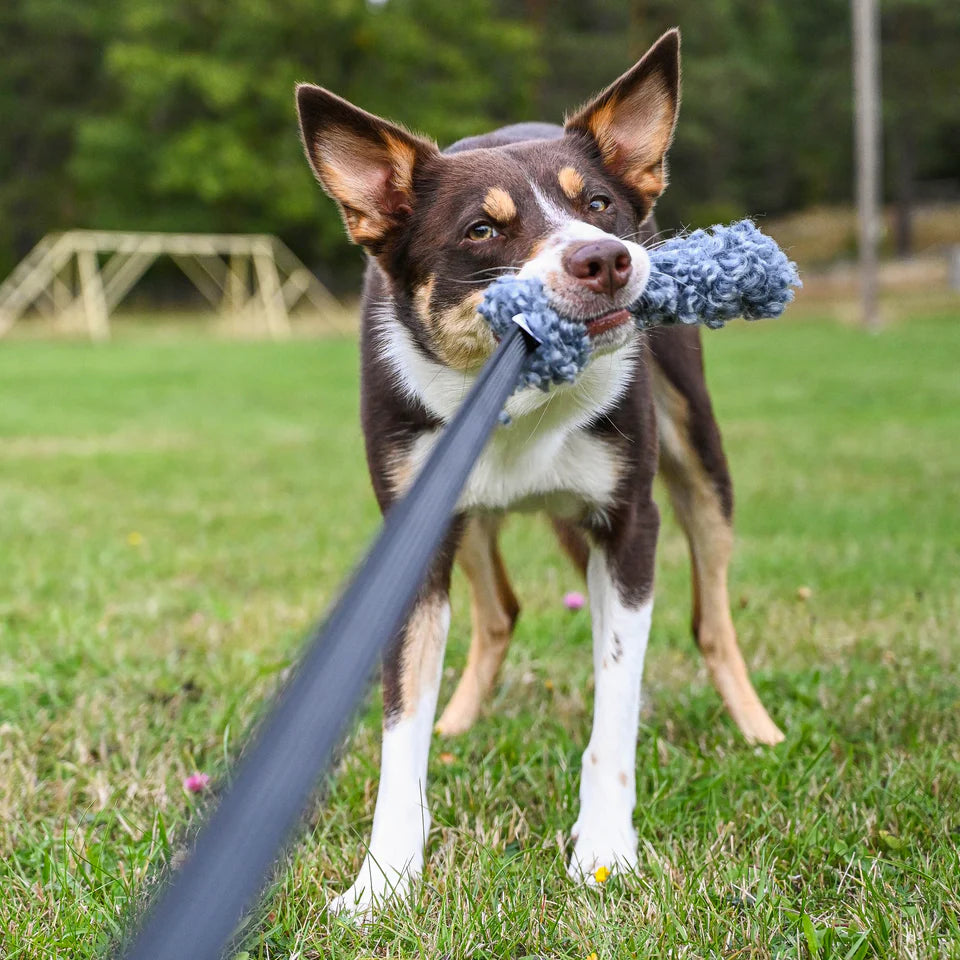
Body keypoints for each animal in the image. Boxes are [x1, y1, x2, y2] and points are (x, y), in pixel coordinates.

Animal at [296, 28, 784, 916]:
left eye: (598, 205)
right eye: (481, 231)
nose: (607, 259)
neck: (522, 398)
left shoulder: (628, 525)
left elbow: (615, 711)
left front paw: (605, 851)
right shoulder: (413, 536)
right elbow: (399, 731)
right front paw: (382, 880)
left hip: (699, 459)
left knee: (709, 616)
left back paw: (757, 728)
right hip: (473, 518)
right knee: (499, 612)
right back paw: (459, 718)